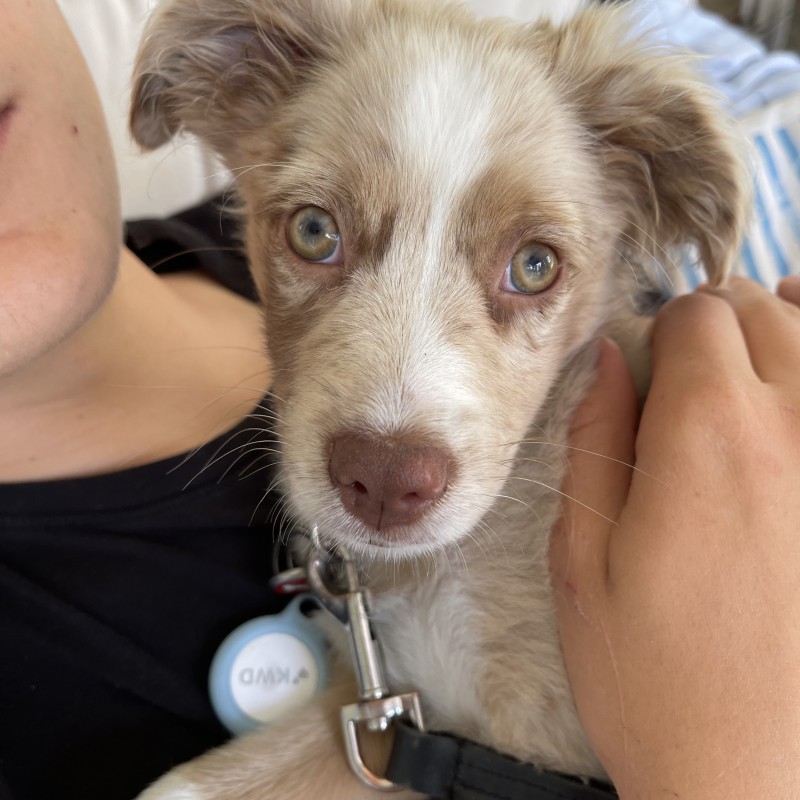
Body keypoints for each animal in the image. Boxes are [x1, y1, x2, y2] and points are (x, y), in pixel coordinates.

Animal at [129, 0, 748, 796]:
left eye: (535, 265)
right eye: (314, 231)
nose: (387, 481)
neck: (438, 577)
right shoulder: (393, 720)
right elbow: (184, 782)